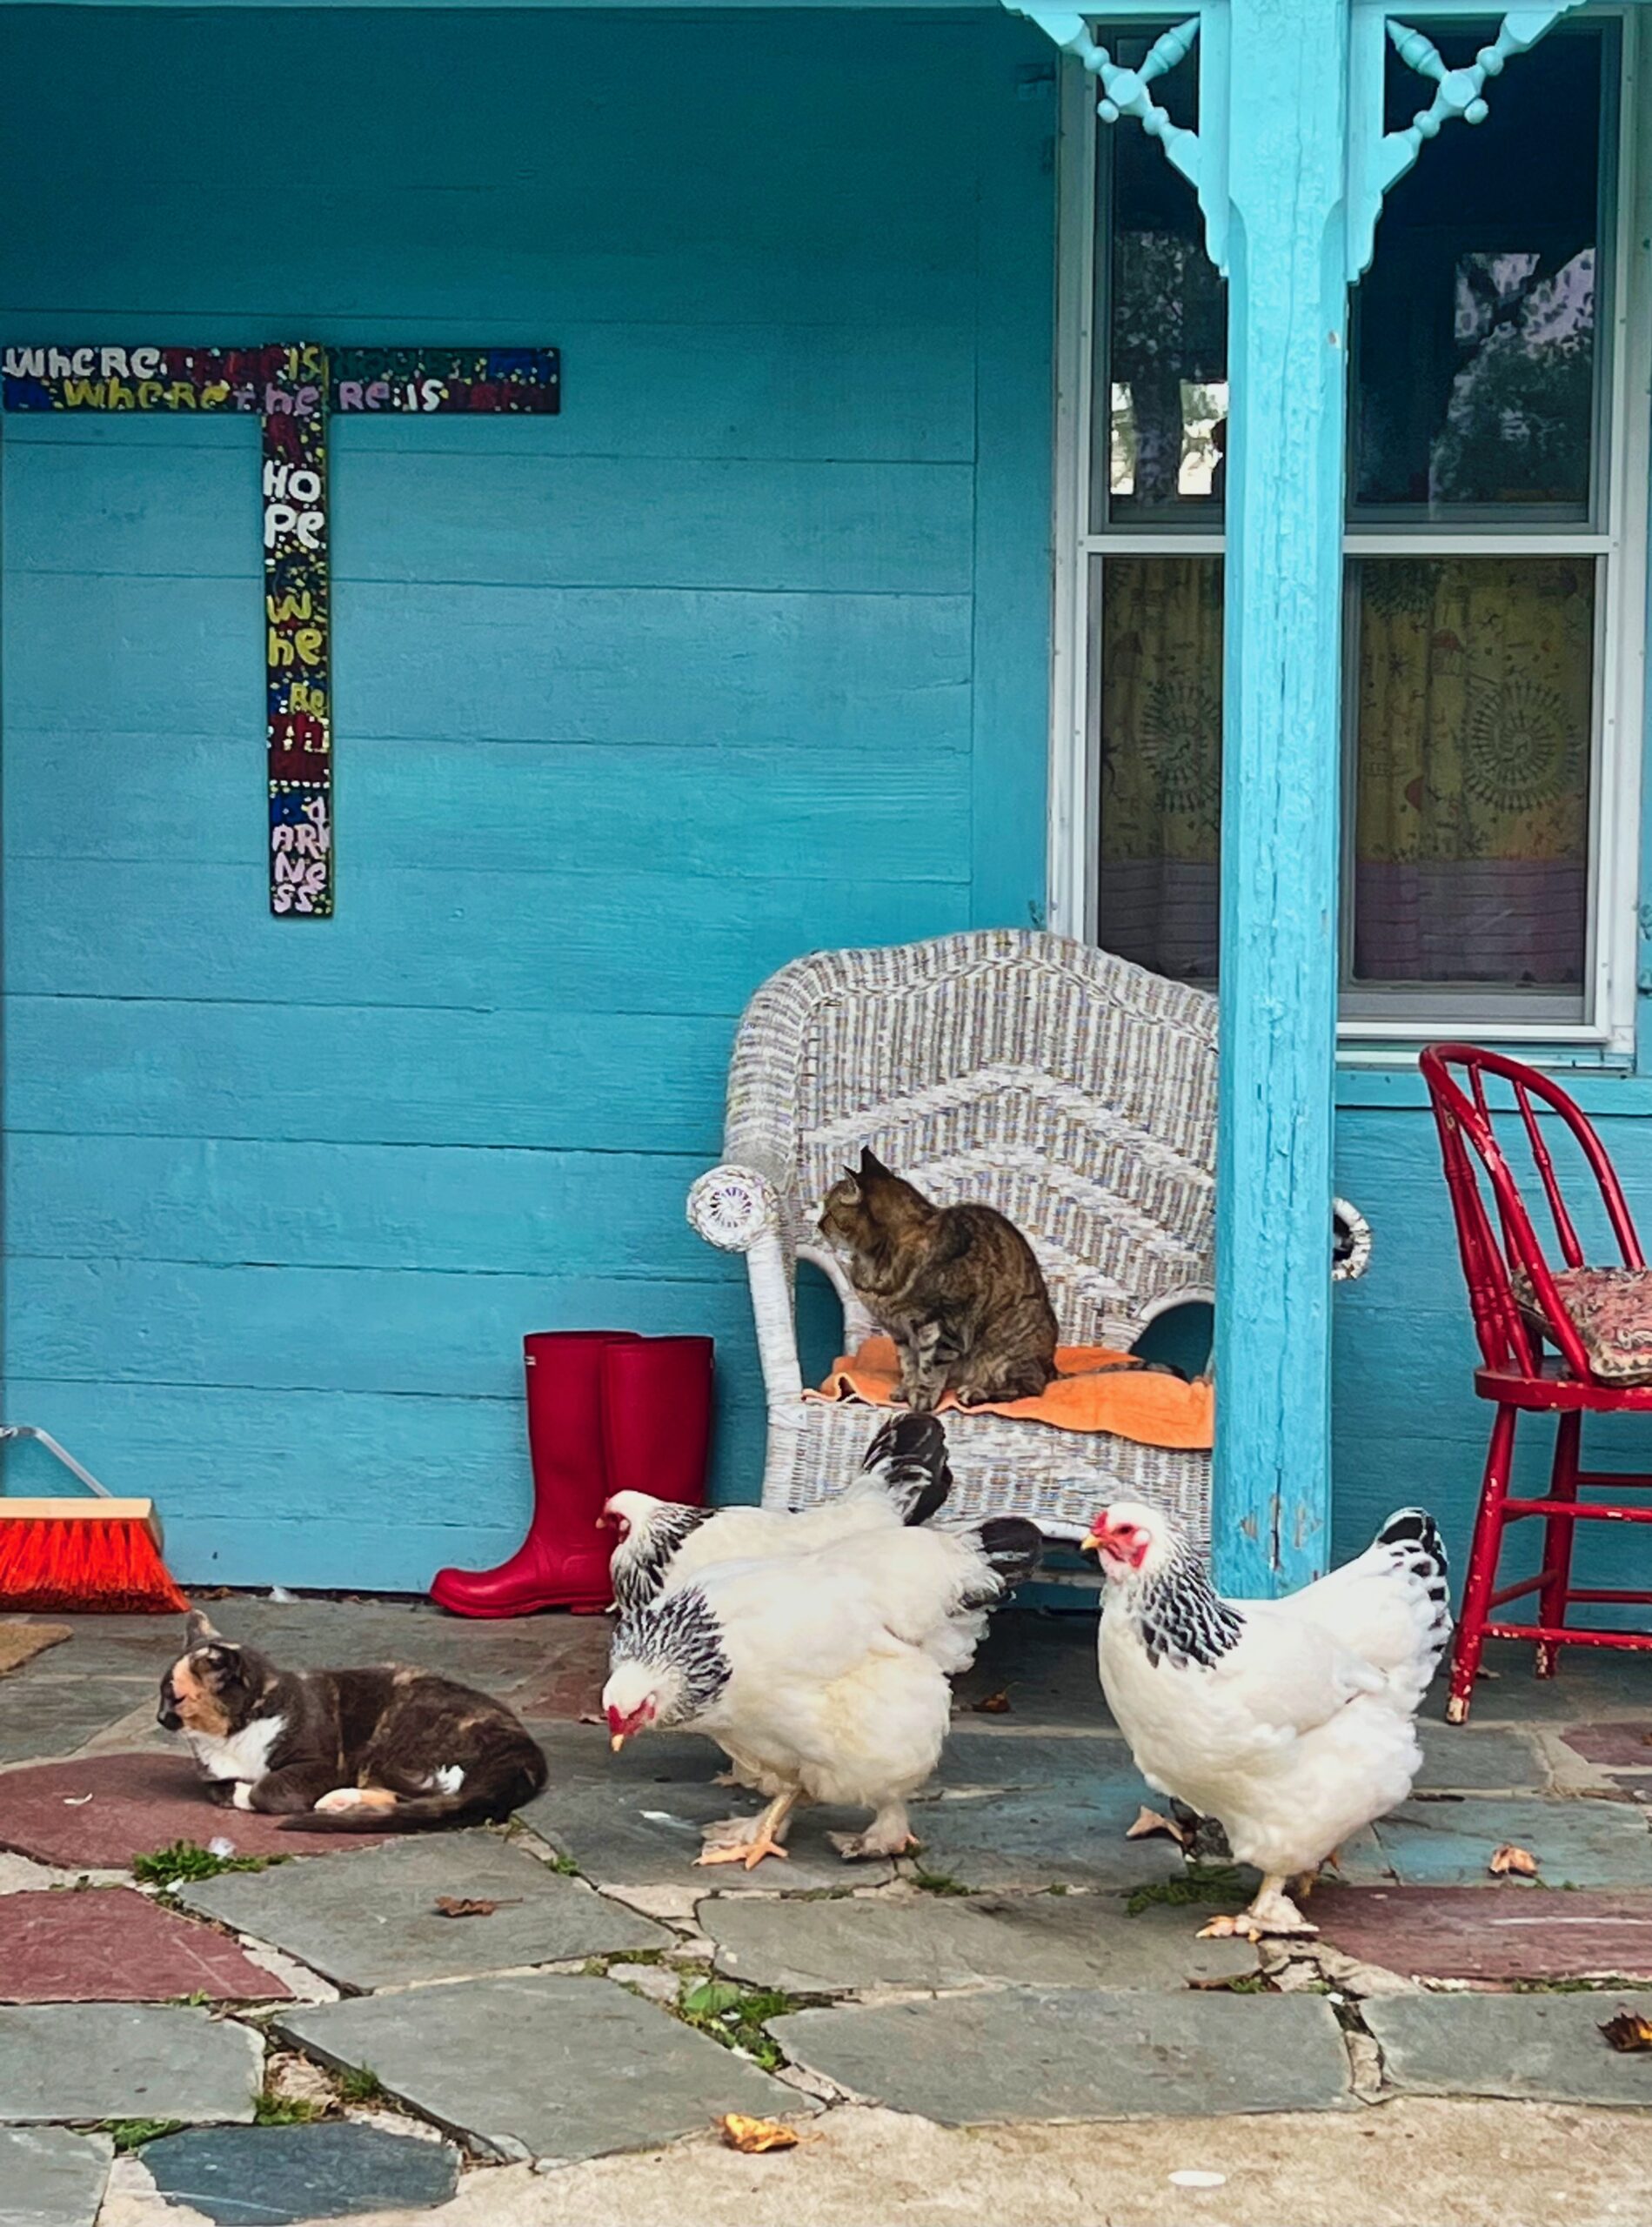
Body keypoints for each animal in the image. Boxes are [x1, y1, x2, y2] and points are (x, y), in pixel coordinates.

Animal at [156, 1621, 547, 1826]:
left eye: (176, 1697)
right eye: (160, 1693)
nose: (159, 1717)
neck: (232, 1737)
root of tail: (525, 1749)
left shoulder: (322, 1764)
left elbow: (265, 1788)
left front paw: (257, 1792)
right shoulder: (212, 1776)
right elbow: (220, 1789)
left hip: (396, 1741)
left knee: (435, 1790)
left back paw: (338, 1800)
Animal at [819, 1148, 1060, 1407]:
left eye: (828, 1212)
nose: (818, 1223)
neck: (875, 1263)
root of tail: (1051, 1366)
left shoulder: (942, 1325)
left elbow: (929, 1367)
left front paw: (922, 1397)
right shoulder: (900, 1331)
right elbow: (908, 1364)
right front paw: (907, 1388)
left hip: (1008, 1339)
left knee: (1030, 1387)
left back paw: (975, 1392)